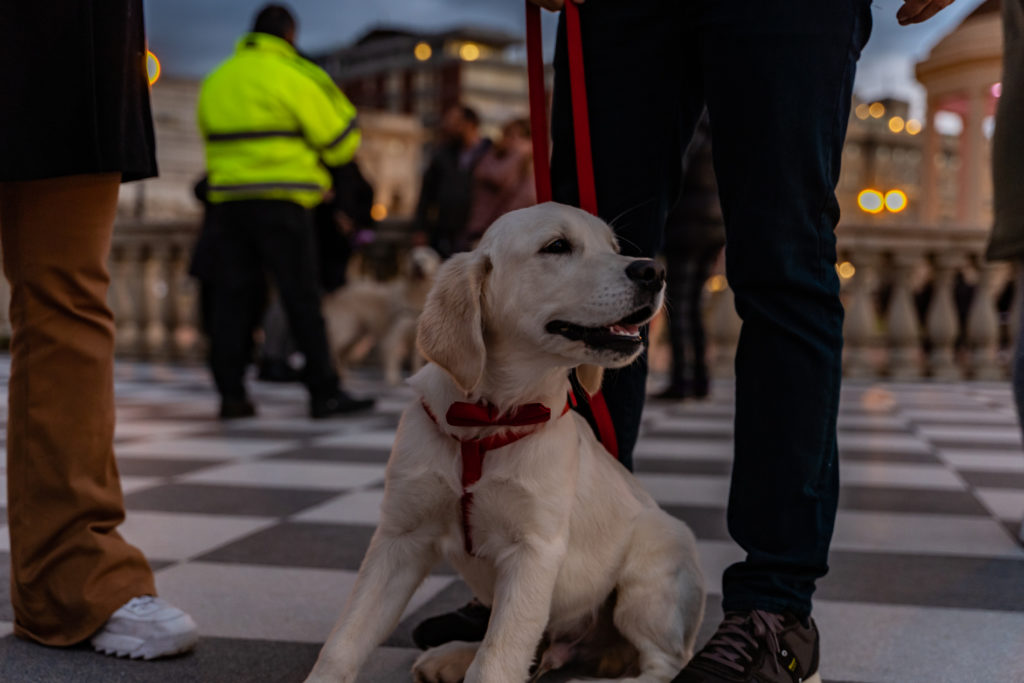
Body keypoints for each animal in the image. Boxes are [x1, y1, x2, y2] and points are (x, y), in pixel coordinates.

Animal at [323, 245, 441, 385]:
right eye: (412, 256)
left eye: (427, 255)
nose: (417, 264)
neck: (415, 293)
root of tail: (335, 295)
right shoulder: (394, 333)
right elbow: (392, 357)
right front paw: (392, 379)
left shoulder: (416, 338)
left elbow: (415, 361)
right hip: (344, 330)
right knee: (332, 351)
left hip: (355, 335)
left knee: (341, 356)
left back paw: (344, 375)